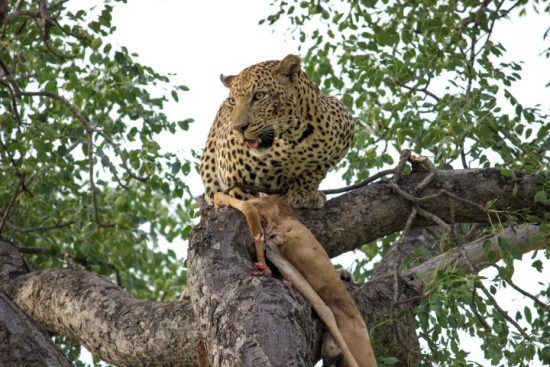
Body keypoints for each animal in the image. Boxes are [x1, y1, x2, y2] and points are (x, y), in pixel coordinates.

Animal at [201, 54, 356, 210]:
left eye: (259, 96)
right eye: (232, 101)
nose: (238, 128)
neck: (293, 139)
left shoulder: (344, 129)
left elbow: (316, 170)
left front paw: (303, 193)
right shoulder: (235, 178)